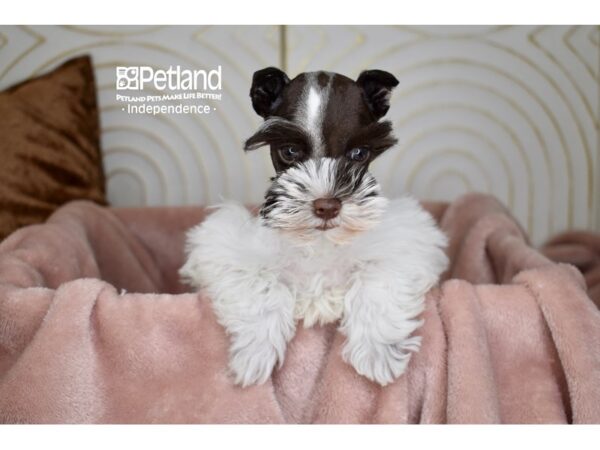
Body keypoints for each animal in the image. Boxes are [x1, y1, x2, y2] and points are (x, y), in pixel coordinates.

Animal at [180, 67, 448, 386]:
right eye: (289, 151)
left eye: (359, 154)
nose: (327, 206)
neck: (320, 242)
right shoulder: (224, 247)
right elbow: (264, 287)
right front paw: (255, 356)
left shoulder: (407, 243)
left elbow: (377, 282)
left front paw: (377, 353)